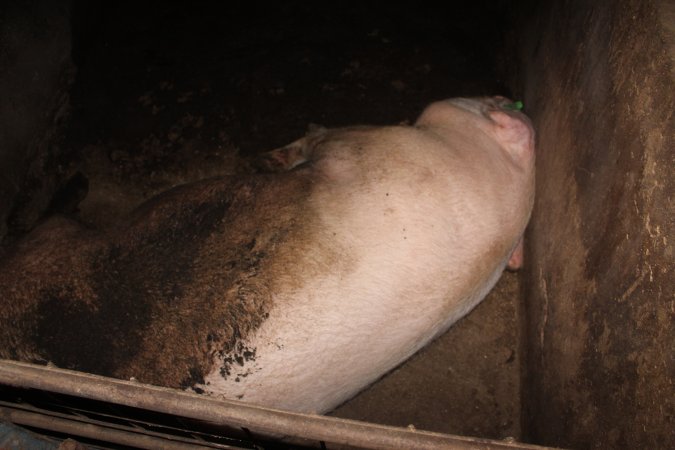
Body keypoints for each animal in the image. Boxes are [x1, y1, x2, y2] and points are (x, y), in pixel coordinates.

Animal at [0, 97, 540, 414]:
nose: (504, 97)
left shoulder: (365, 145)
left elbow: (320, 136)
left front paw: (275, 153)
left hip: (50, 242)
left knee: (51, 218)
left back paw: (76, 184)